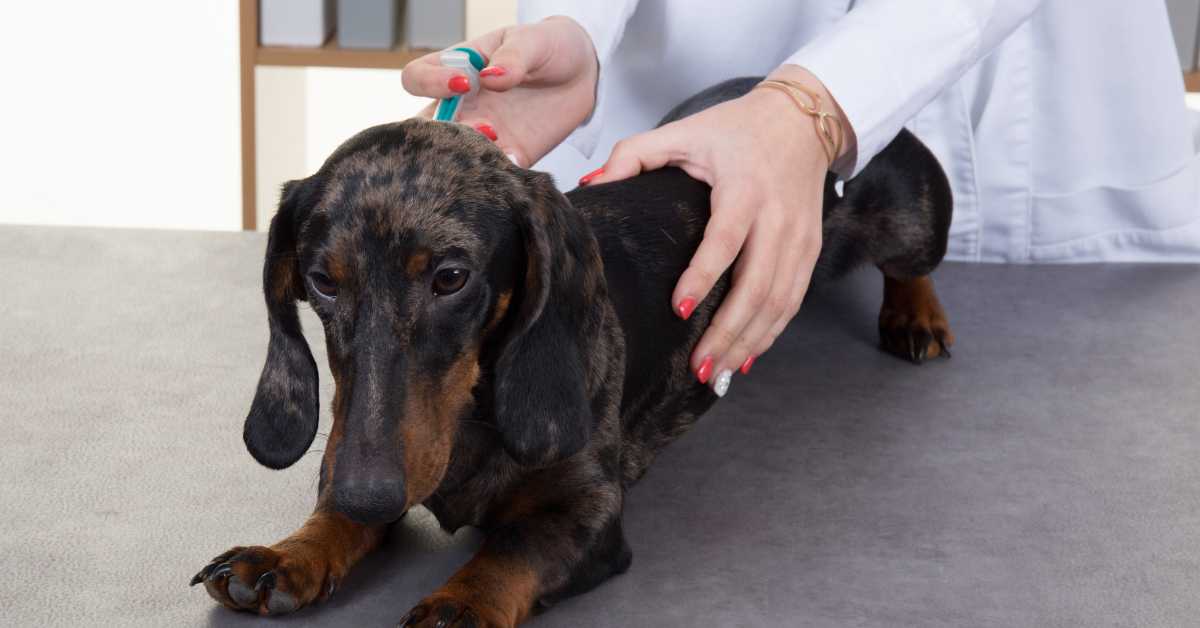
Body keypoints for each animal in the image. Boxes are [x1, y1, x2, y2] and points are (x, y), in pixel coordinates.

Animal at [192, 77, 950, 624]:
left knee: (914, 263)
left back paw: (916, 314)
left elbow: (513, 552)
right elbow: (330, 518)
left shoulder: (590, 511)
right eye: (322, 280)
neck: (472, 420)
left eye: (451, 277)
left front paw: (458, 605)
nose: (368, 492)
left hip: (915, 217)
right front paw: (285, 556)